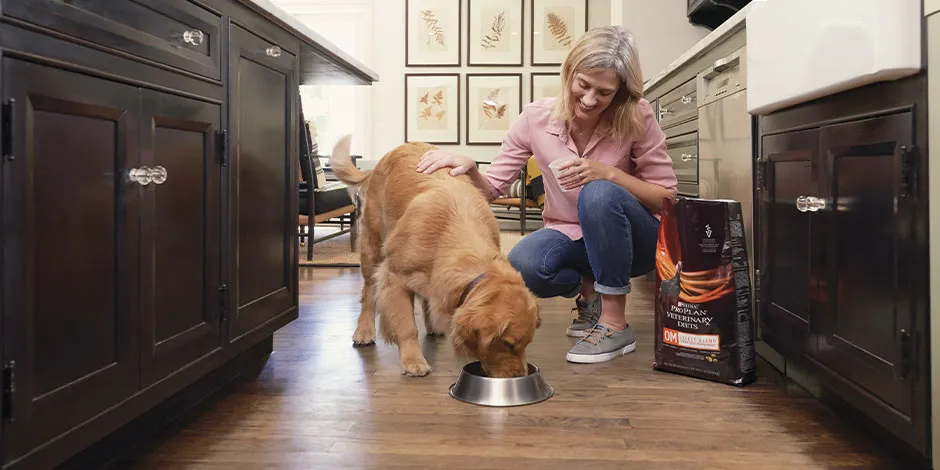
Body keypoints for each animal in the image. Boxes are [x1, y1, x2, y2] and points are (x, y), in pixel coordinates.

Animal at [328, 136, 540, 378]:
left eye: (526, 344)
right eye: (508, 344)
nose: (520, 376)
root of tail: (381, 162)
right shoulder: (394, 277)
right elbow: (407, 325)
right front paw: (413, 360)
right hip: (372, 248)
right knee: (368, 292)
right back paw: (364, 330)